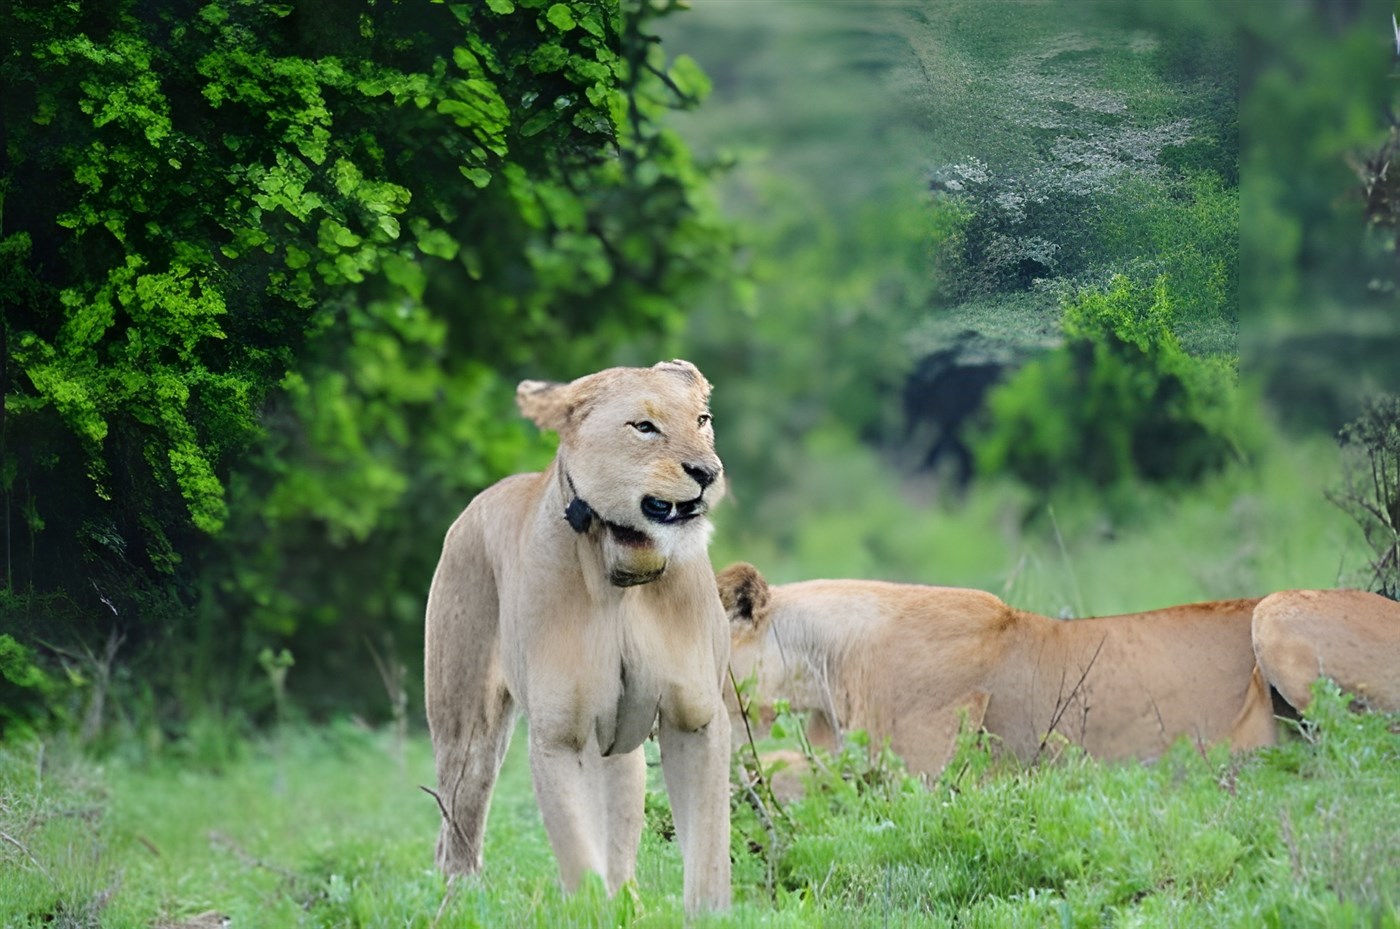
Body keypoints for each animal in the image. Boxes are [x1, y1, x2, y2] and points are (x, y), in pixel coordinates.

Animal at [424, 360, 731, 913]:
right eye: (645, 427)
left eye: (702, 420)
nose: (707, 473)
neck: (627, 566)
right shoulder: (560, 735)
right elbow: (577, 852)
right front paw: (594, 912)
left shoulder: (697, 716)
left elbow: (709, 846)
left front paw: (710, 916)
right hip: (467, 730)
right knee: (458, 824)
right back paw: (460, 904)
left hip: (619, 745)